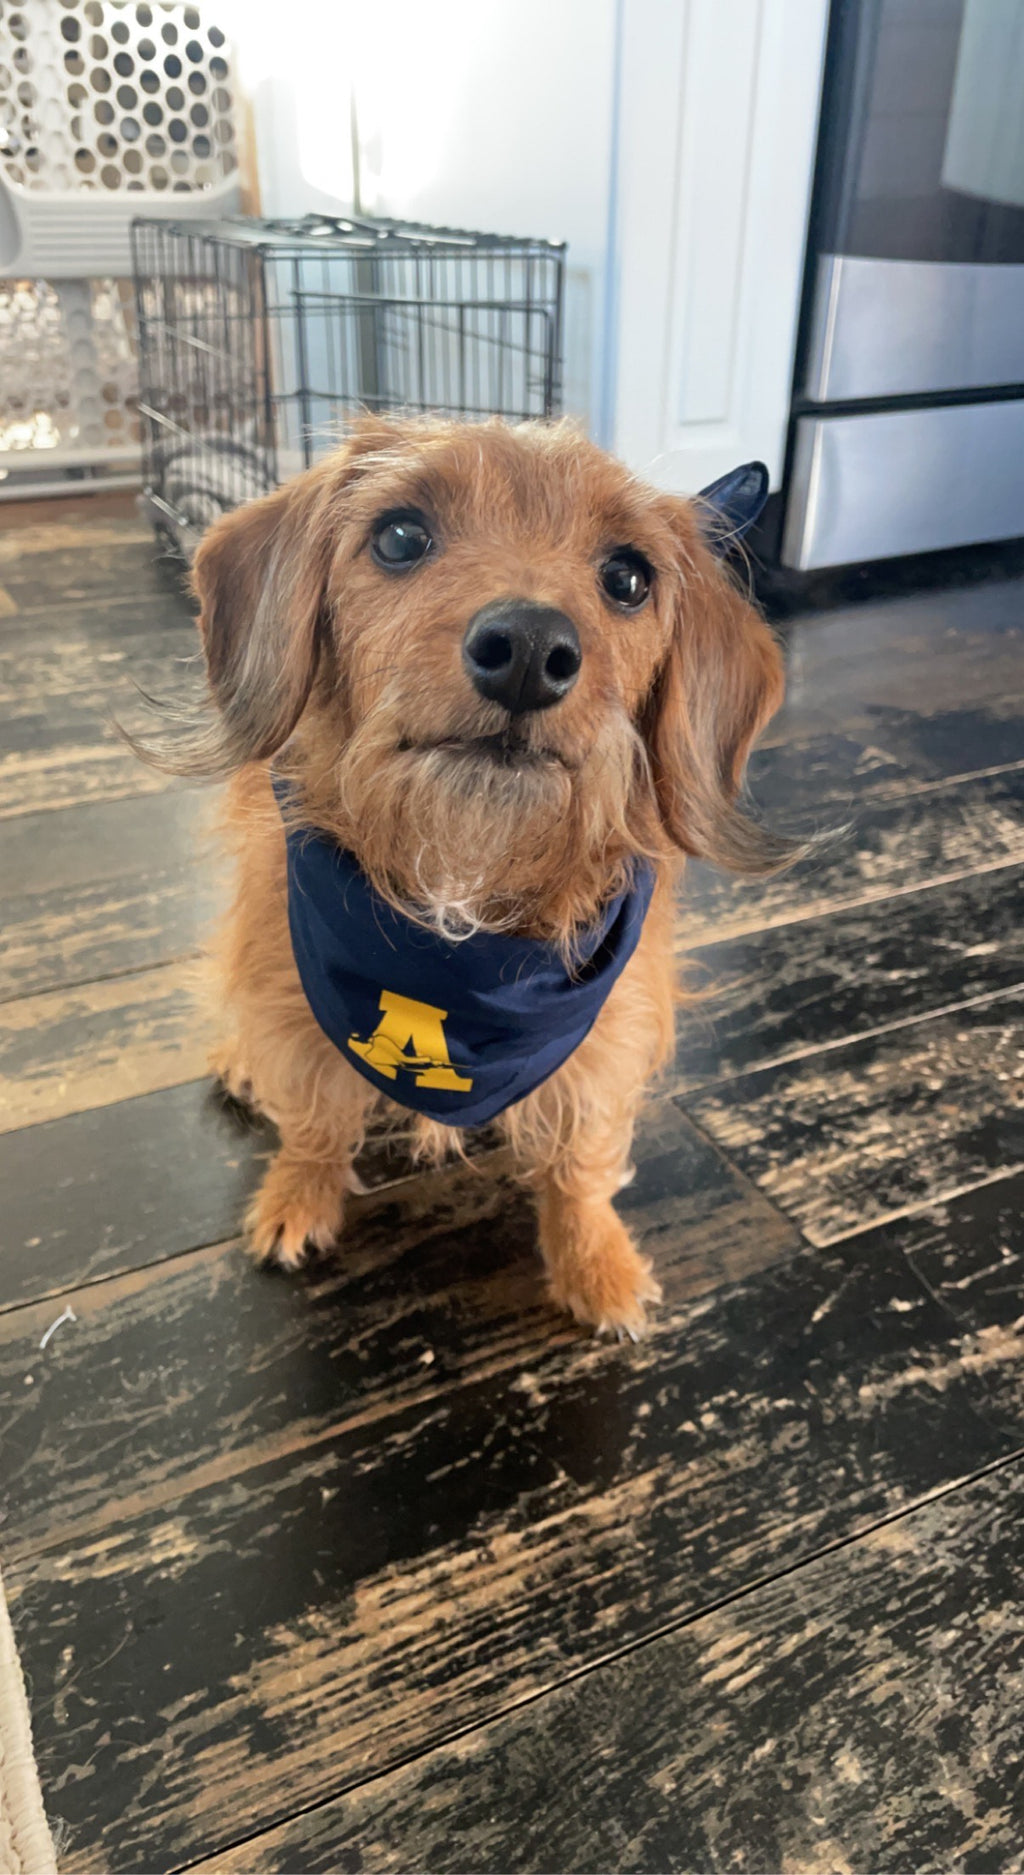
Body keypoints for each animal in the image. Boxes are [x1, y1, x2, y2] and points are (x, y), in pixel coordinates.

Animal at [153, 418, 787, 1342]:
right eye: (399, 536)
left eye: (629, 578)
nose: (528, 648)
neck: (459, 882)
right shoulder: (289, 986)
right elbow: (313, 1116)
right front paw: (297, 1195)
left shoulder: (606, 1028)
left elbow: (580, 1162)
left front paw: (596, 1263)